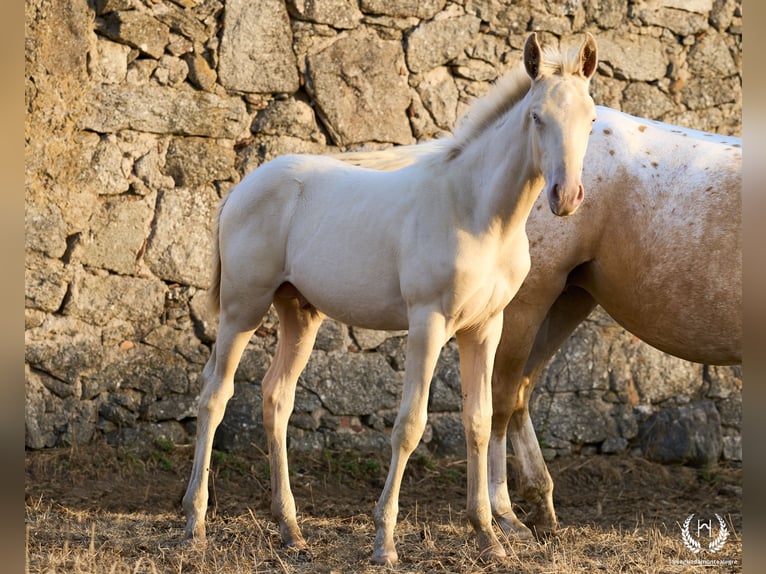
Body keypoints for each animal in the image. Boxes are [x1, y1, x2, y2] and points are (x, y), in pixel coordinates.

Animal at [182, 32, 600, 568]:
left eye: (591, 119)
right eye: (536, 116)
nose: (566, 197)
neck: (474, 211)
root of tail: (239, 189)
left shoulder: (484, 328)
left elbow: (479, 421)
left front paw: (488, 536)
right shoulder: (428, 323)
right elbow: (410, 424)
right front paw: (384, 542)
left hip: (300, 313)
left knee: (276, 397)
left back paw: (291, 529)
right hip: (242, 309)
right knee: (214, 396)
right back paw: (195, 524)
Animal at [340, 98, 740, 540]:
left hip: (567, 302)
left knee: (518, 394)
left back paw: (538, 504)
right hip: (528, 305)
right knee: (501, 398)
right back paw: (503, 512)